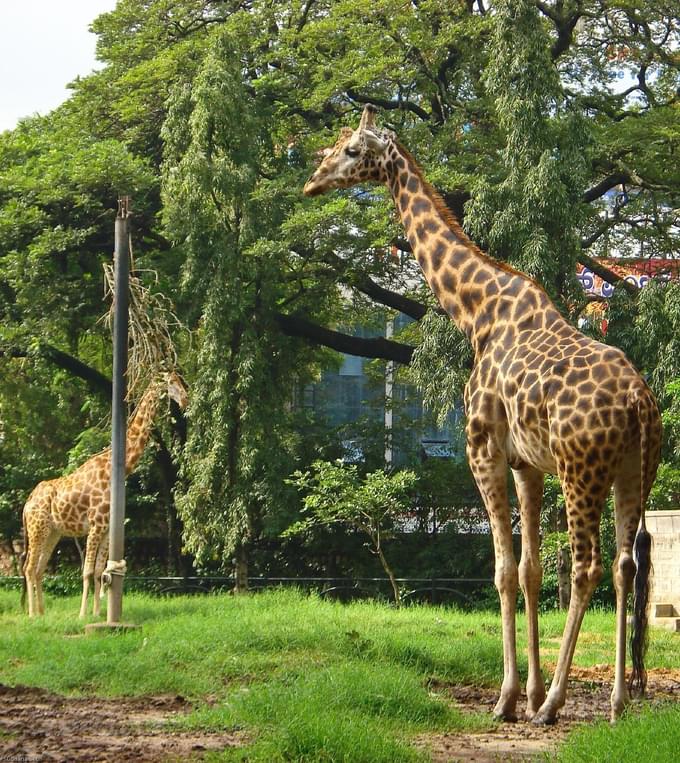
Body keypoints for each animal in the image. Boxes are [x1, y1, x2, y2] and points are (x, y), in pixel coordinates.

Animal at [22, 372, 187, 620]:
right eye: (171, 382)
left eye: (181, 379)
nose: (186, 400)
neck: (117, 468)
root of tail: (27, 503)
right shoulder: (95, 525)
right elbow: (87, 571)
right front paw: (82, 614)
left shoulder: (107, 528)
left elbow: (101, 571)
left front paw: (98, 613)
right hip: (37, 529)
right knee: (29, 568)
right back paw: (32, 614)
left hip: (53, 532)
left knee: (39, 569)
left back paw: (42, 612)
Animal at [302, 106, 660, 724]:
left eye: (350, 150)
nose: (312, 183)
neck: (476, 313)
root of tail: (639, 399)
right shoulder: (527, 464)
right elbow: (531, 569)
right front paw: (528, 691)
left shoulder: (482, 450)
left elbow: (501, 571)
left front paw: (510, 698)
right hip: (633, 471)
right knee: (623, 566)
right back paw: (614, 702)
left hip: (581, 471)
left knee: (586, 566)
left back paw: (556, 704)